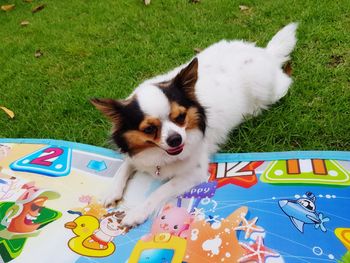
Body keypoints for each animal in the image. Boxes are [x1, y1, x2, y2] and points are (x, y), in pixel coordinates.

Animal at [91, 22, 298, 228]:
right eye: (149, 129)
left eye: (181, 117)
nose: (175, 139)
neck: (159, 156)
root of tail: (265, 53)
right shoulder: (136, 154)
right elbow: (125, 166)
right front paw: (112, 191)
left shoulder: (194, 172)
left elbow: (161, 189)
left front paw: (137, 212)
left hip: (269, 91)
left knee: (285, 82)